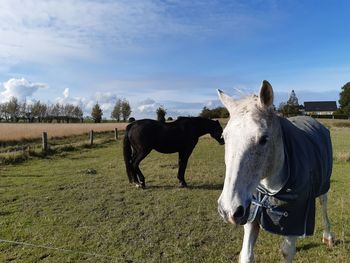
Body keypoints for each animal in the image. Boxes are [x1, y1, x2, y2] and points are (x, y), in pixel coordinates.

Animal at [217, 81, 334, 263]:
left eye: (264, 139)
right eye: (224, 137)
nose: (227, 210)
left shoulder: (295, 220)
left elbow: (287, 251)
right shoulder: (251, 212)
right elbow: (246, 255)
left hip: (324, 184)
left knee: (323, 203)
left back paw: (328, 236)